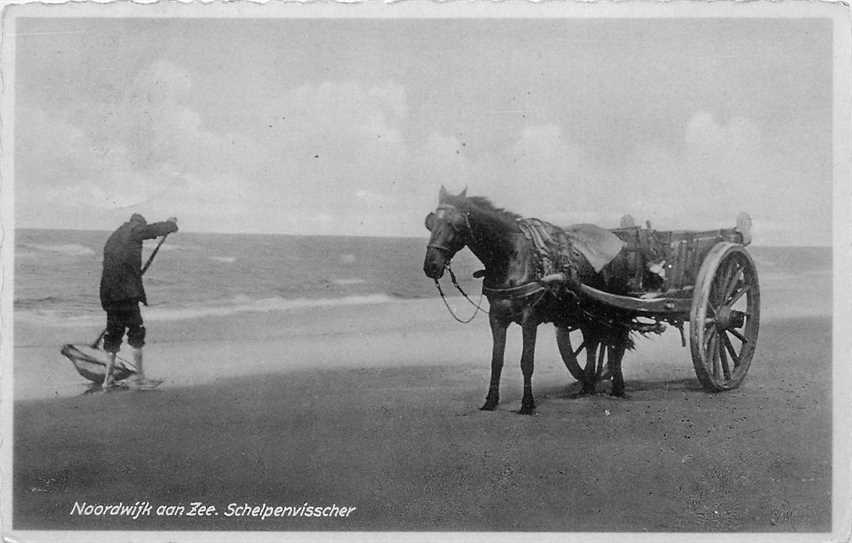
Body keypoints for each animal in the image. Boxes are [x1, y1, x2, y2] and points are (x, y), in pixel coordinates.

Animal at [422, 187, 636, 416]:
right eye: (431, 223)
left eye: (454, 224)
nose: (431, 266)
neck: (511, 257)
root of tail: (621, 243)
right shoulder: (496, 317)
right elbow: (496, 360)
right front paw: (491, 401)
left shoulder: (529, 318)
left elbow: (527, 361)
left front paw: (527, 403)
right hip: (588, 312)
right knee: (593, 342)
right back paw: (588, 386)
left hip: (612, 308)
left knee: (615, 343)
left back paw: (617, 387)